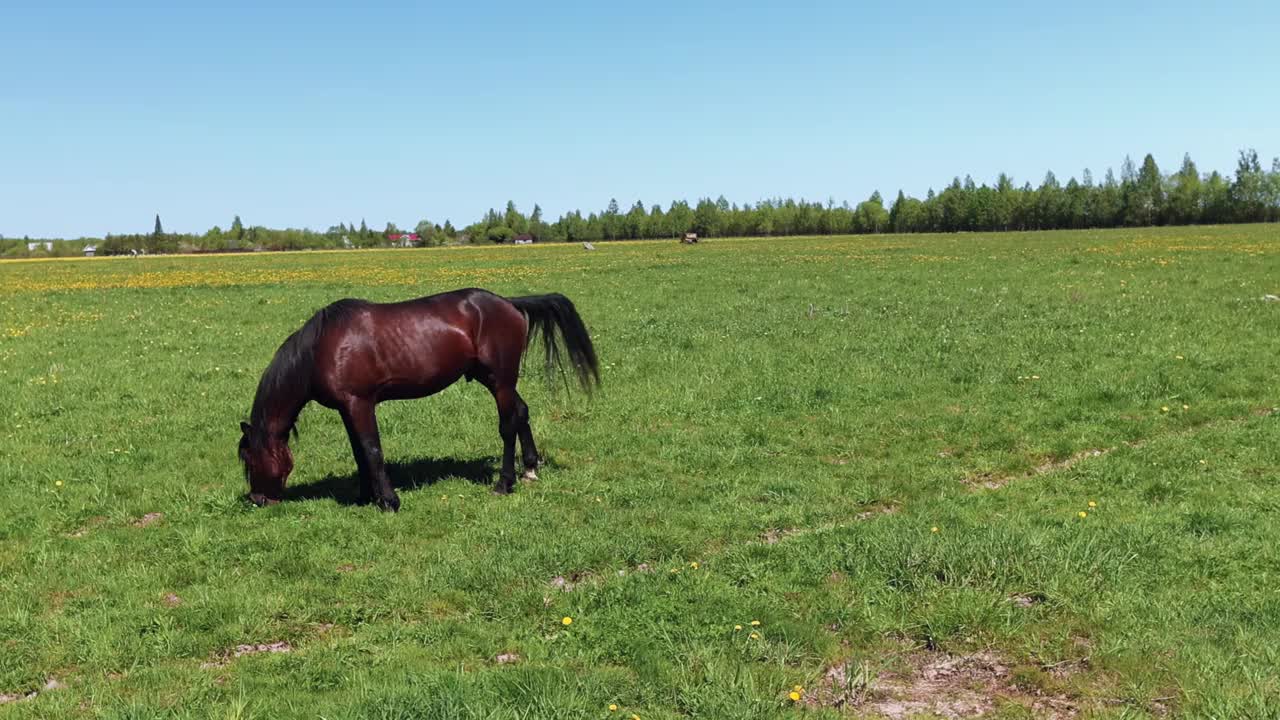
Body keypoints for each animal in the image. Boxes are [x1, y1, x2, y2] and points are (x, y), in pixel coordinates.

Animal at [238, 285, 596, 509]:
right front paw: (365, 497)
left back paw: (504, 484)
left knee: (508, 424)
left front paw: (389, 501)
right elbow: (359, 452)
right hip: (494, 379)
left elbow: (372, 449)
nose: (257, 500)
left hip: (500, 380)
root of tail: (508, 303)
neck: (320, 351)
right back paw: (531, 469)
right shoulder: (346, 408)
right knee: (521, 411)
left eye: (250, 459)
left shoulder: (360, 403)